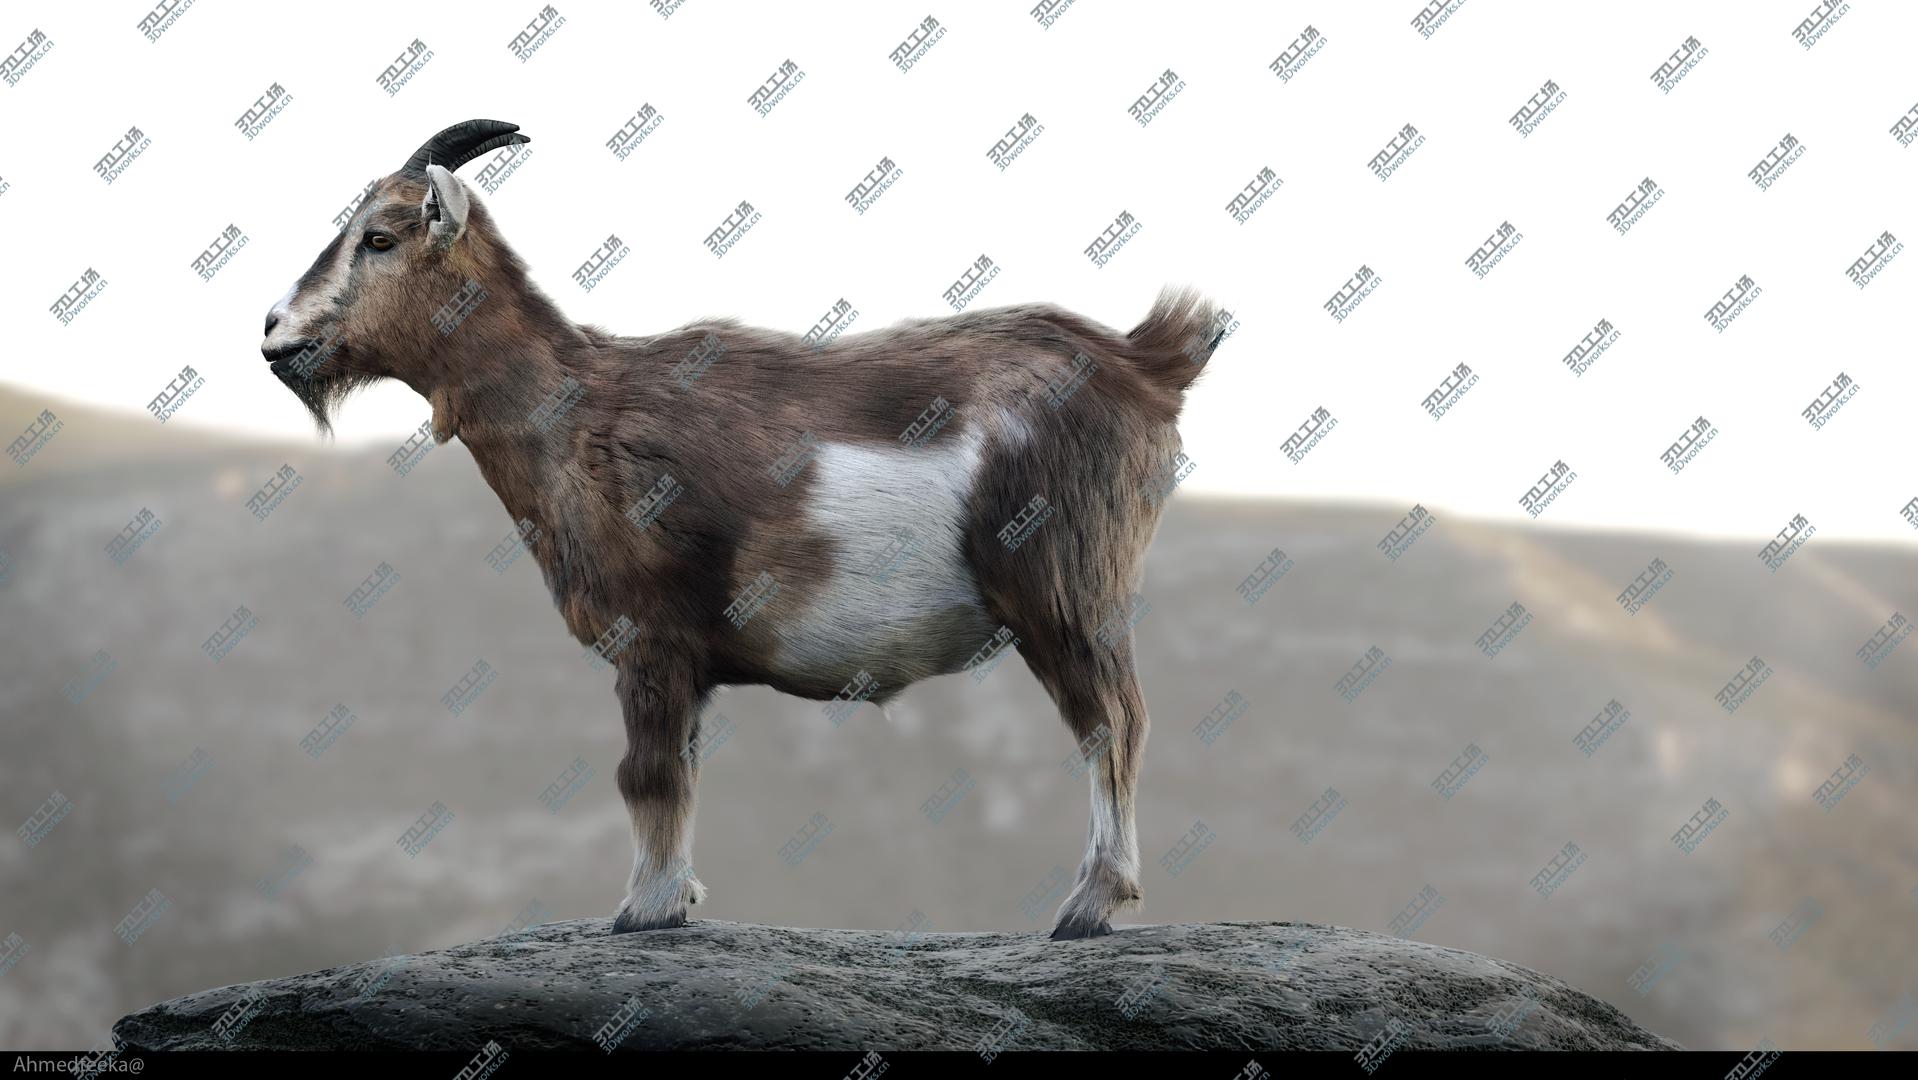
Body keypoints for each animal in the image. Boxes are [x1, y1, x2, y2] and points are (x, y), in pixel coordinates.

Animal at [259, 120, 1225, 939]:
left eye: (380, 237)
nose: (274, 334)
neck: (576, 408)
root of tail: (1147, 361)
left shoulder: (650, 642)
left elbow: (647, 775)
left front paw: (642, 911)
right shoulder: (688, 665)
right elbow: (682, 769)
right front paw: (677, 898)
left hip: (1065, 589)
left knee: (1113, 721)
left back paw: (1089, 906)